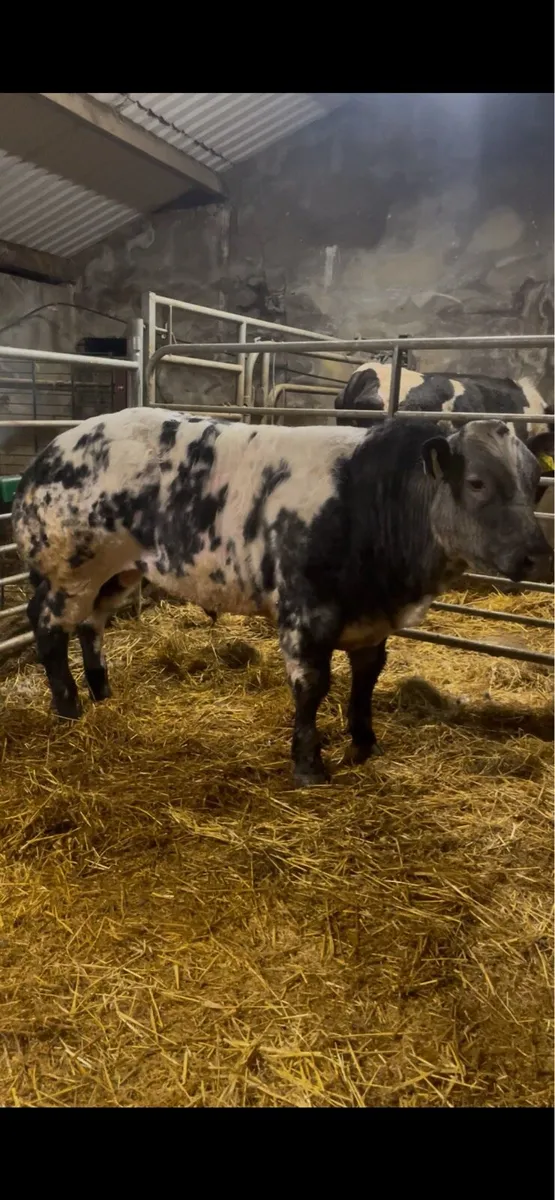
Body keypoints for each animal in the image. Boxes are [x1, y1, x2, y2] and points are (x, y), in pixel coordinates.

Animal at [12, 408, 552, 786]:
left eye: (535, 486)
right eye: (477, 483)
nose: (536, 557)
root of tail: (50, 451)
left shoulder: (370, 623)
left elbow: (365, 682)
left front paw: (364, 746)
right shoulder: (304, 613)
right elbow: (312, 686)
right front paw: (309, 765)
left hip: (117, 574)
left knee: (91, 625)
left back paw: (103, 691)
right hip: (69, 571)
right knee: (48, 628)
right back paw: (69, 708)